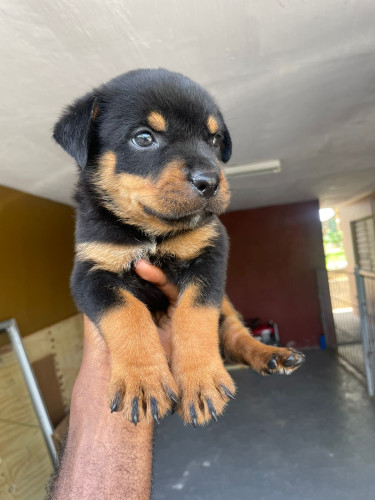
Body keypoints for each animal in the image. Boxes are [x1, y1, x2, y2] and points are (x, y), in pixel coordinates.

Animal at [53, 68, 306, 424]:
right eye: (144, 138)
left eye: (214, 140)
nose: (211, 182)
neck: (152, 233)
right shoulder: (91, 271)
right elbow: (126, 314)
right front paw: (143, 381)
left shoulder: (211, 253)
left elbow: (195, 314)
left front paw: (200, 381)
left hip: (227, 304)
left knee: (234, 331)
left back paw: (272, 355)